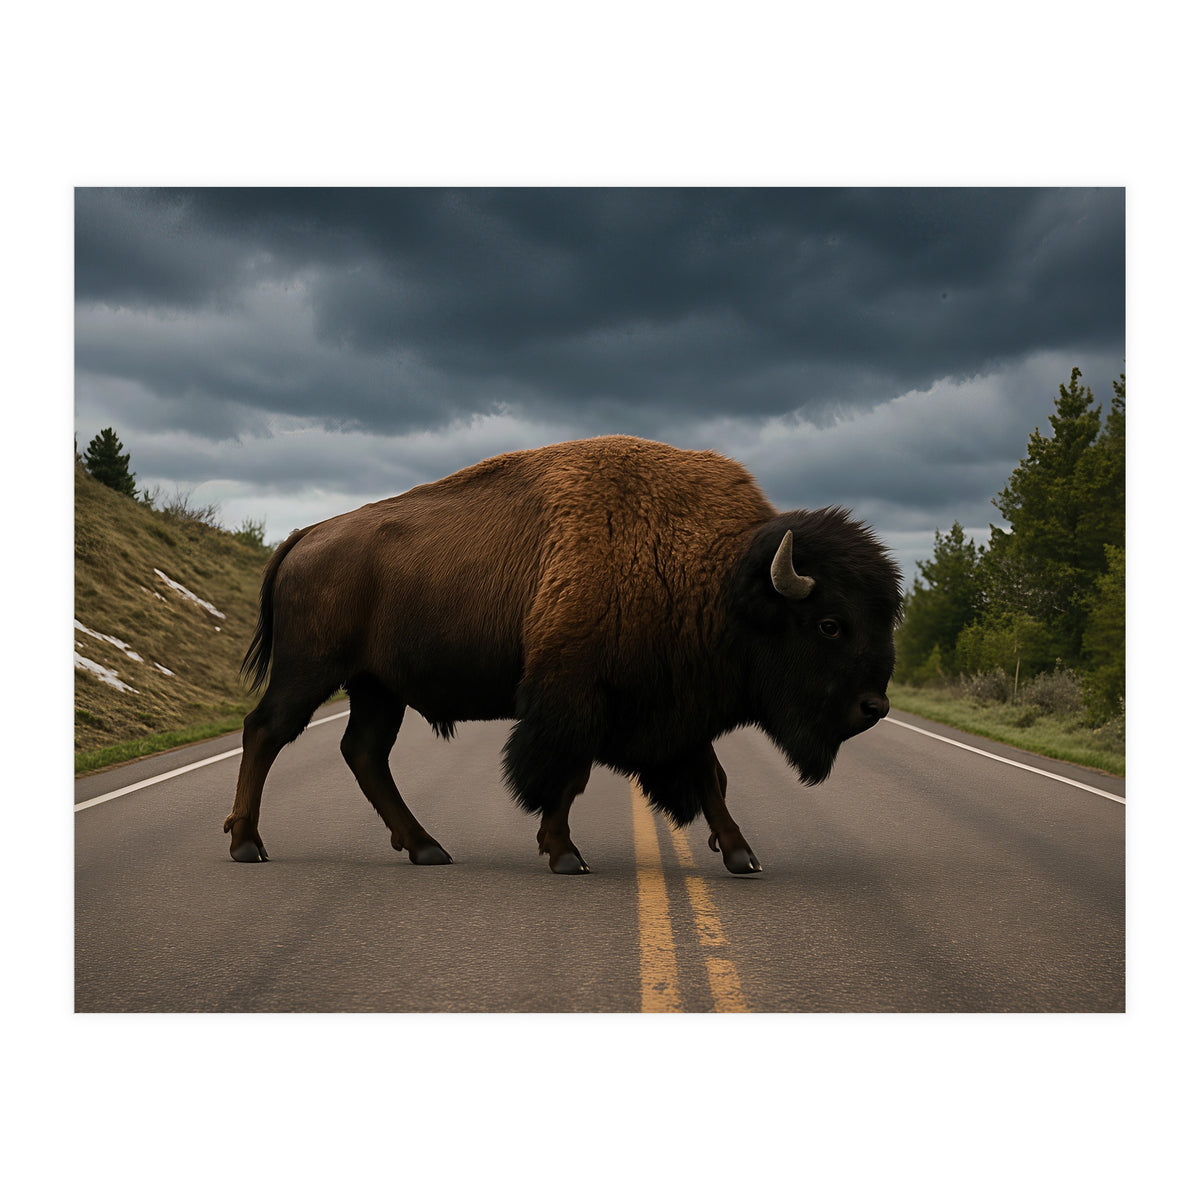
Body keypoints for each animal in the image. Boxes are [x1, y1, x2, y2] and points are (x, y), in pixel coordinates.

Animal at [224, 435, 902, 873]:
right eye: (830, 625)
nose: (874, 707)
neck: (717, 576)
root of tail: (306, 534)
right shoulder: (575, 697)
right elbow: (566, 774)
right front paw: (565, 854)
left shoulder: (673, 707)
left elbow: (708, 775)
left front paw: (741, 854)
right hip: (312, 671)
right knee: (265, 731)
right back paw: (247, 845)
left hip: (376, 688)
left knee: (363, 753)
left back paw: (426, 848)